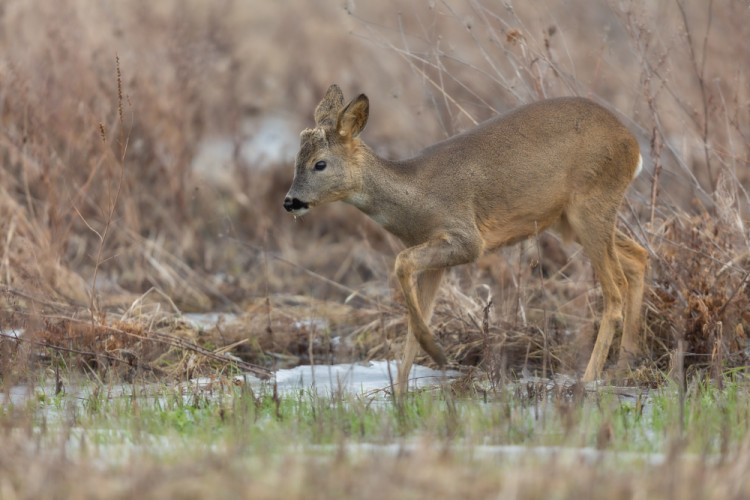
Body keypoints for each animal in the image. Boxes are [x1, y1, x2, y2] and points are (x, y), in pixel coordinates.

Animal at [284, 84, 648, 390]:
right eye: (296, 160)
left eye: (320, 164)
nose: (289, 201)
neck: (415, 197)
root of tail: (634, 146)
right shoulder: (436, 257)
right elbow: (417, 316)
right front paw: (399, 394)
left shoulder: (467, 240)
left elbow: (401, 264)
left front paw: (437, 354)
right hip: (568, 220)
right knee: (638, 257)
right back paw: (625, 364)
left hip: (591, 203)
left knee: (615, 290)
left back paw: (588, 380)